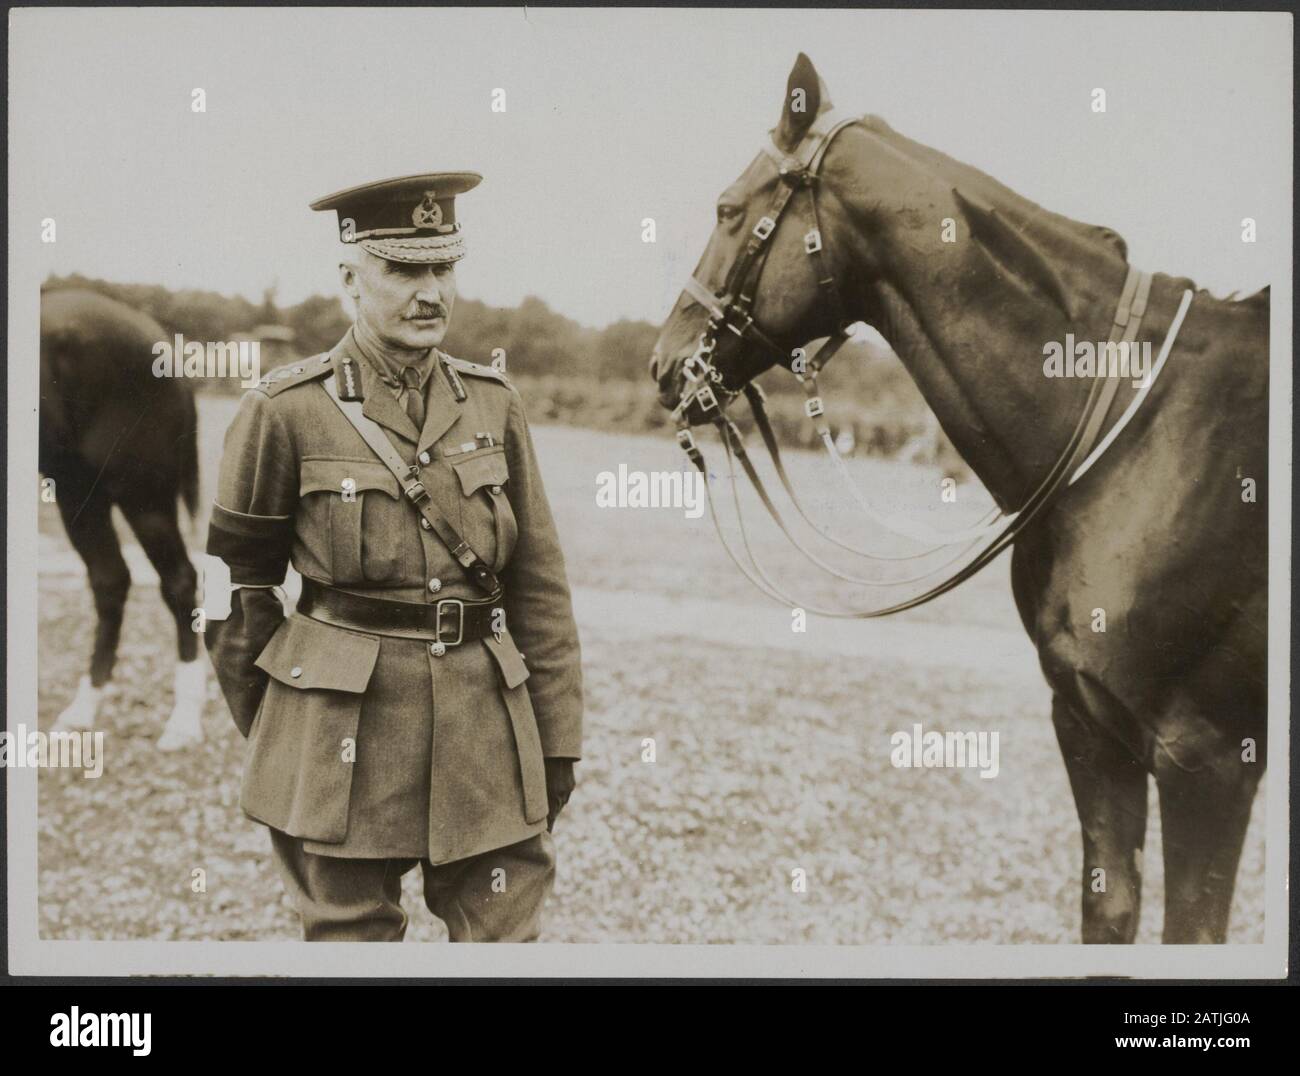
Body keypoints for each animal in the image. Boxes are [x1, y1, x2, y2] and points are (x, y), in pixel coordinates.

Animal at [650, 56, 1268, 940]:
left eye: (729, 209)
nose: (666, 365)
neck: (1142, 429)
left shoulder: (1208, 761)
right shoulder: (1092, 729)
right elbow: (1108, 912)